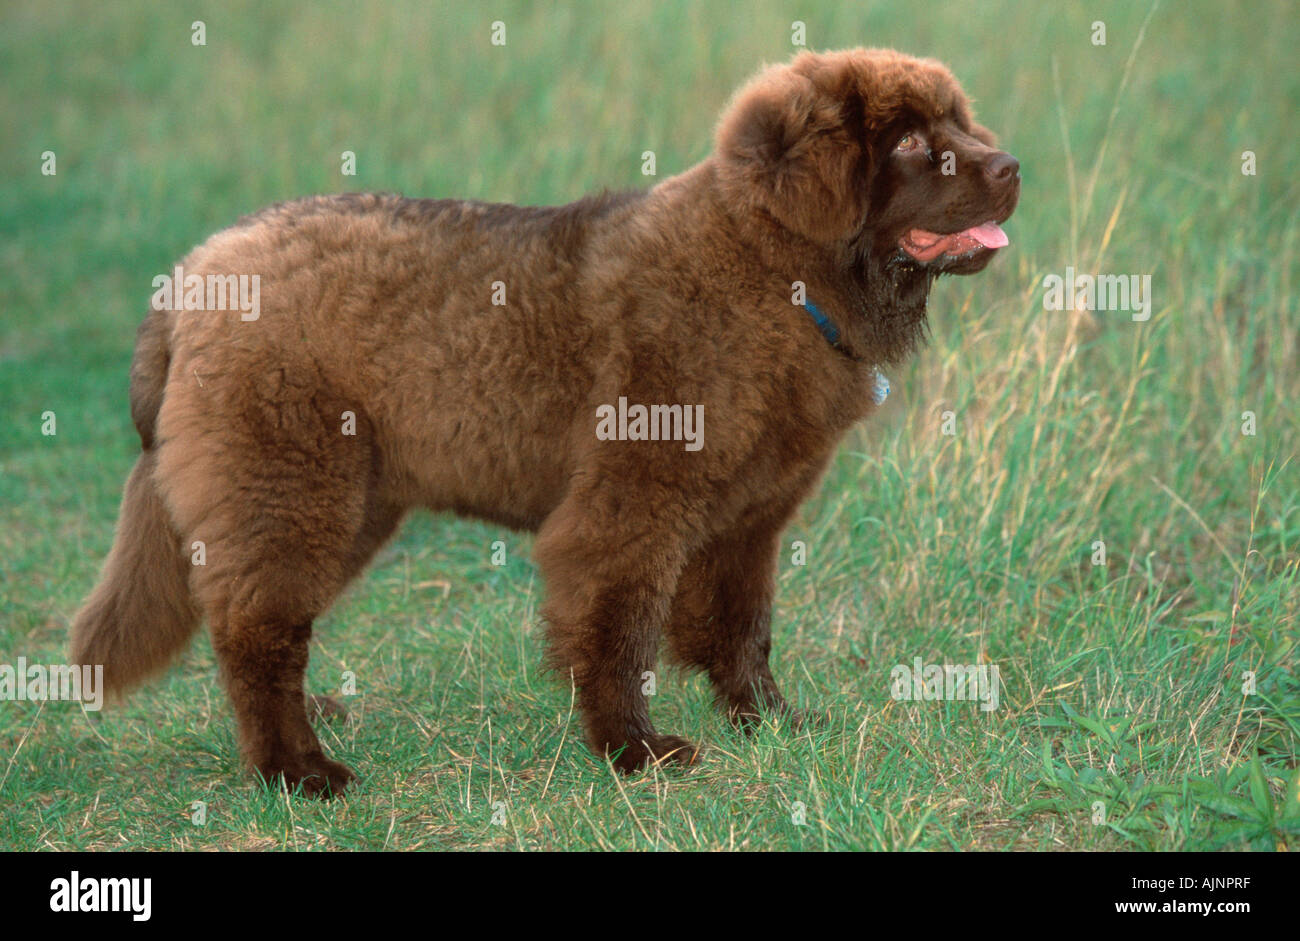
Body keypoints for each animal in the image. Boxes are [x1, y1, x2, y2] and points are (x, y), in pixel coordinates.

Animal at [73, 47, 1013, 795]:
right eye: (910, 144)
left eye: (960, 125)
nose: (1010, 166)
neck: (770, 272)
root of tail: (194, 273)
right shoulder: (630, 507)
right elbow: (620, 633)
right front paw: (635, 752)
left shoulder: (749, 519)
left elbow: (743, 628)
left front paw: (771, 723)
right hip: (290, 485)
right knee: (256, 631)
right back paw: (297, 770)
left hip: (347, 500)